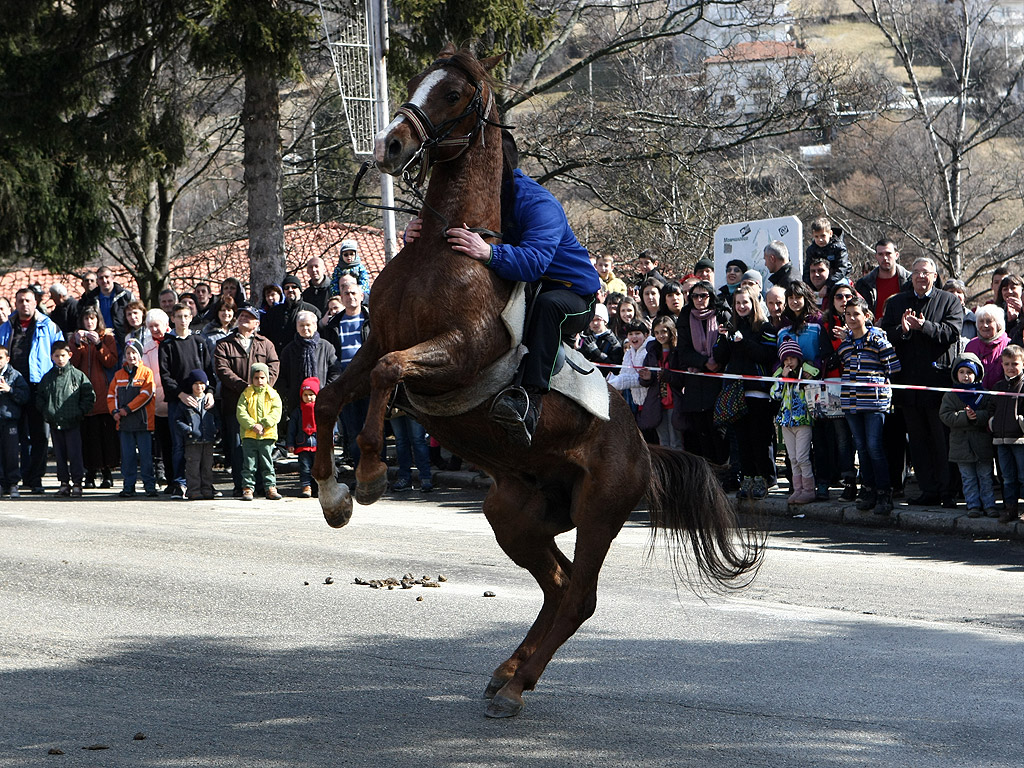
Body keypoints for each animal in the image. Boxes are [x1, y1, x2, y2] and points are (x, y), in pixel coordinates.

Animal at [311, 45, 761, 720]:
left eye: (452, 94)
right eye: (416, 81)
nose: (390, 145)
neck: (446, 252)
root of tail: (643, 448)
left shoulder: (455, 353)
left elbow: (389, 379)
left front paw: (366, 476)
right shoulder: (375, 344)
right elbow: (335, 396)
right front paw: (331, 493)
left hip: (601, 508)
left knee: (580, 595)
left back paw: (515, 684)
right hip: (515, 512)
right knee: (556, 585)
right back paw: (507, 673)